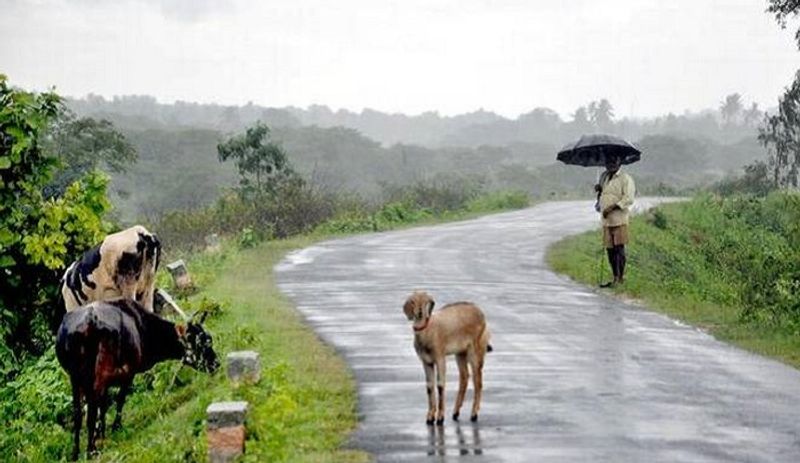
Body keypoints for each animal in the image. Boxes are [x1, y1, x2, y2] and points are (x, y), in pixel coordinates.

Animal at [55, 298, 219, 460]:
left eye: (209, 339)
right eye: (199, 342)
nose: (215, 363)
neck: (141, 325)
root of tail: (90, 319)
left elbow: (103, 407)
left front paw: (102, 434)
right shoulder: (129, 373)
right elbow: (119, 400)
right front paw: (115, 428)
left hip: (75, 377)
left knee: (78, 412)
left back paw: (76, 452)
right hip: (101, 372)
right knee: (92, 409)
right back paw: (91, 450)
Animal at [404, 292, 490, 426]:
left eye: (426, 301)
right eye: (412, 301)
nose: (420, 312)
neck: (429, 331)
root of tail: (481, 313)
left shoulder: (440, 357)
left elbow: (440, 385)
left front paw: (440, 418)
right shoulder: (426, 361)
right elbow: (429, 387)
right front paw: (430, 417)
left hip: (475, 350)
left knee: (478, 381)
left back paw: (474, 414)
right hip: (460, 353)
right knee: (464, 377)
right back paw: (455, 413)